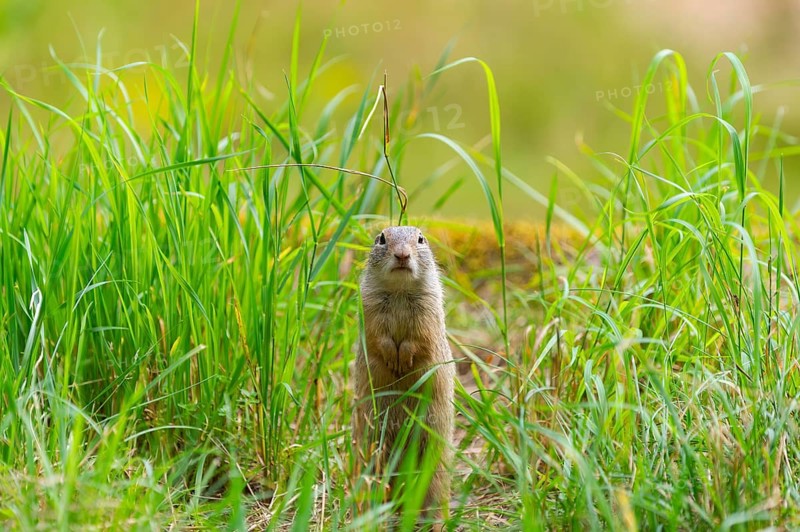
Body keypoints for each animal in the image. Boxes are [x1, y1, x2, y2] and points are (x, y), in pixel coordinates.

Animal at [352, 225, 455, 522]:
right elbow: (378, 337)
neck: (399, 291)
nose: (401, 255)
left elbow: (419, 339)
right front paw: (392, 358)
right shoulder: (370, 308)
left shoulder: (428, 311)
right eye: (381, 239)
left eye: (420, 239)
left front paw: (403, 359)